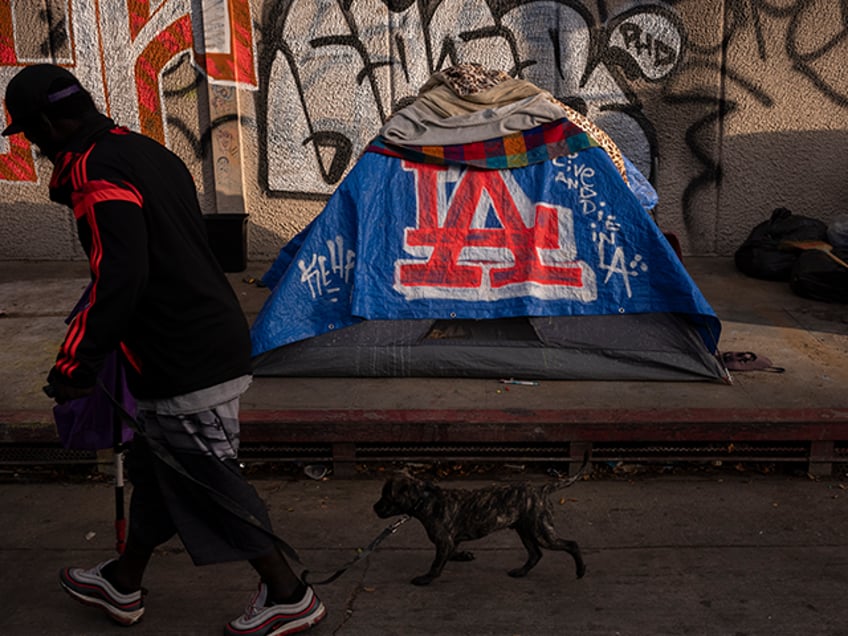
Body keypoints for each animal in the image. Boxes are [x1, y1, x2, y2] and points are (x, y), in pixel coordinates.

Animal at [374, 454, 588, 584]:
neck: (424, 498)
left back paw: (581, 570)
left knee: (572, 544)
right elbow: (451, 552)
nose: (374, 508)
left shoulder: (443, 541)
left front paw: (426, 578)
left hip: (541, 531)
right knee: (535, 554)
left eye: (387, 497)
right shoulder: (451, 541)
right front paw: (463, 555)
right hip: (526, 531)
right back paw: (521, 571)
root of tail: (542, 489)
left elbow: (436, 564)